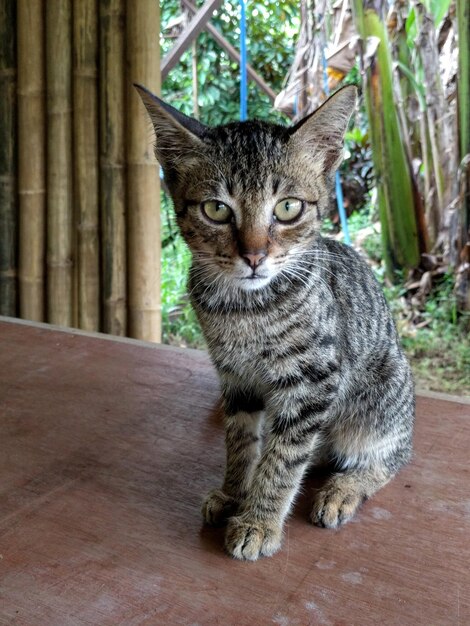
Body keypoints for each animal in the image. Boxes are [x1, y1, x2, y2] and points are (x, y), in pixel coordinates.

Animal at [136, 84, 414, 560]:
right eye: (216, 209)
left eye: (287, 208)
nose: (253, 255)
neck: (244, 310)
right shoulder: (235, 377)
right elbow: (241, 442)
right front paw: (235, 492)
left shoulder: (313, 380)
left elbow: (283, 459)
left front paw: (259, 521)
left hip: (382, 398)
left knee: (389, 456)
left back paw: (345, 487)